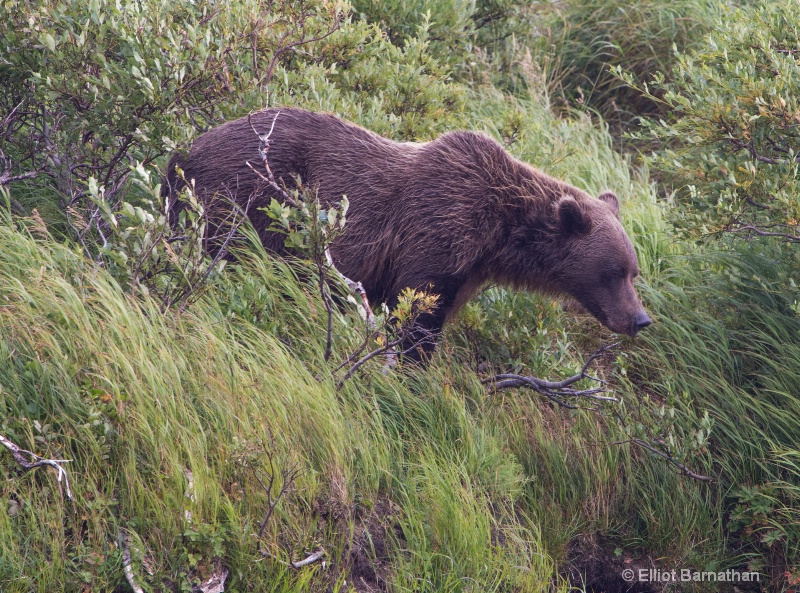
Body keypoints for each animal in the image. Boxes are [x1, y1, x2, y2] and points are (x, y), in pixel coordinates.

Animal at [162, 107, 648, 352]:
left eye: (633, 271)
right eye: (612, 271)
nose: (640, 319)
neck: (496, 237)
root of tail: (179, 153)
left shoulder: (466, 269)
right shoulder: (437, 228)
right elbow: (416, 314)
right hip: (239, 197)